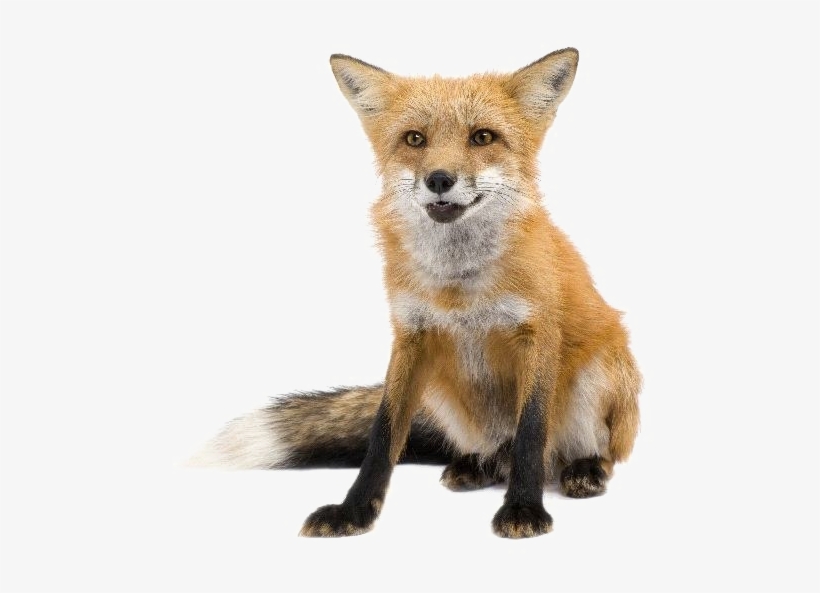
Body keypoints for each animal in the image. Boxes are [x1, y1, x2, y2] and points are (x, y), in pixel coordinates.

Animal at [190, 48, 641, 539]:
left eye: (483, 137)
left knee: (577, 453)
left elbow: (531, 434)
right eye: (414, 139)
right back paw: (475, 466)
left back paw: (584, 469)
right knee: (494, 453)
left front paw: (523, 508)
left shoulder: (537, 334)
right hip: (442, 391)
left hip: (600, 375)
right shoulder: (411, 335)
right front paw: (354, 511)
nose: (439, 179)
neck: (458, 285)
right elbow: (383, 433)